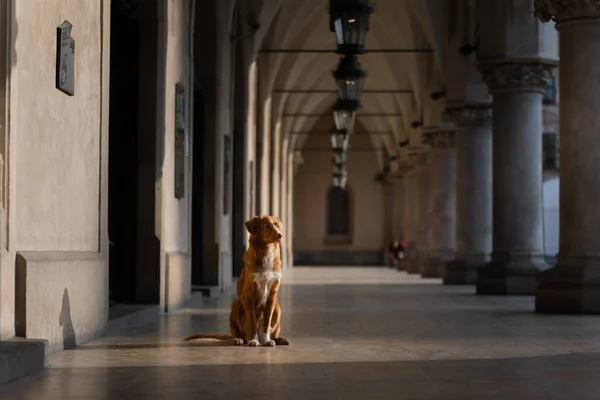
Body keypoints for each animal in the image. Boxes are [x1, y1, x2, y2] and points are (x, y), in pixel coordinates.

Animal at [183, 216, 290, 346]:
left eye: (277, 225)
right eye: (267, 226)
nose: (280, 235)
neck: (266, 252)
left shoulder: (272, 296)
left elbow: (267, 323)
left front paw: (267, 340)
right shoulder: (250, 296)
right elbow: (252, 323)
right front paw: (253, 340)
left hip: (277, 307)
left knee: (271, 330)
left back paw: (278, 339)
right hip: (235, 305)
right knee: (238, 333)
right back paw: (240, 339)